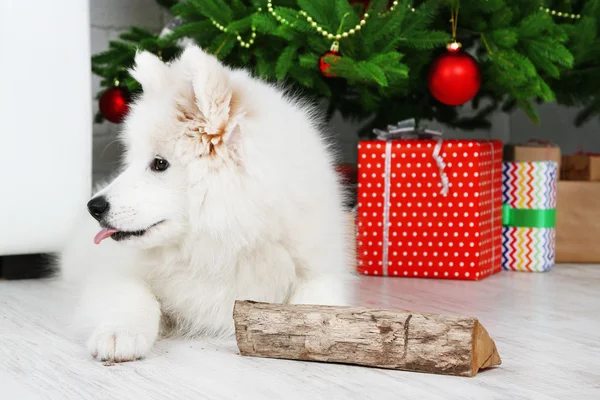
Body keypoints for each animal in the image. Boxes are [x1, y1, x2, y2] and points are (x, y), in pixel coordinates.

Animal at [59, 45, 354, 364]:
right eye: (132, 160)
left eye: (159, 164)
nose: (94, 207)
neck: (225, 244)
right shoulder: (112, 272)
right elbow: (134, 295)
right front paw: (119, 333)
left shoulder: (319, 270)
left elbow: (318, 302)